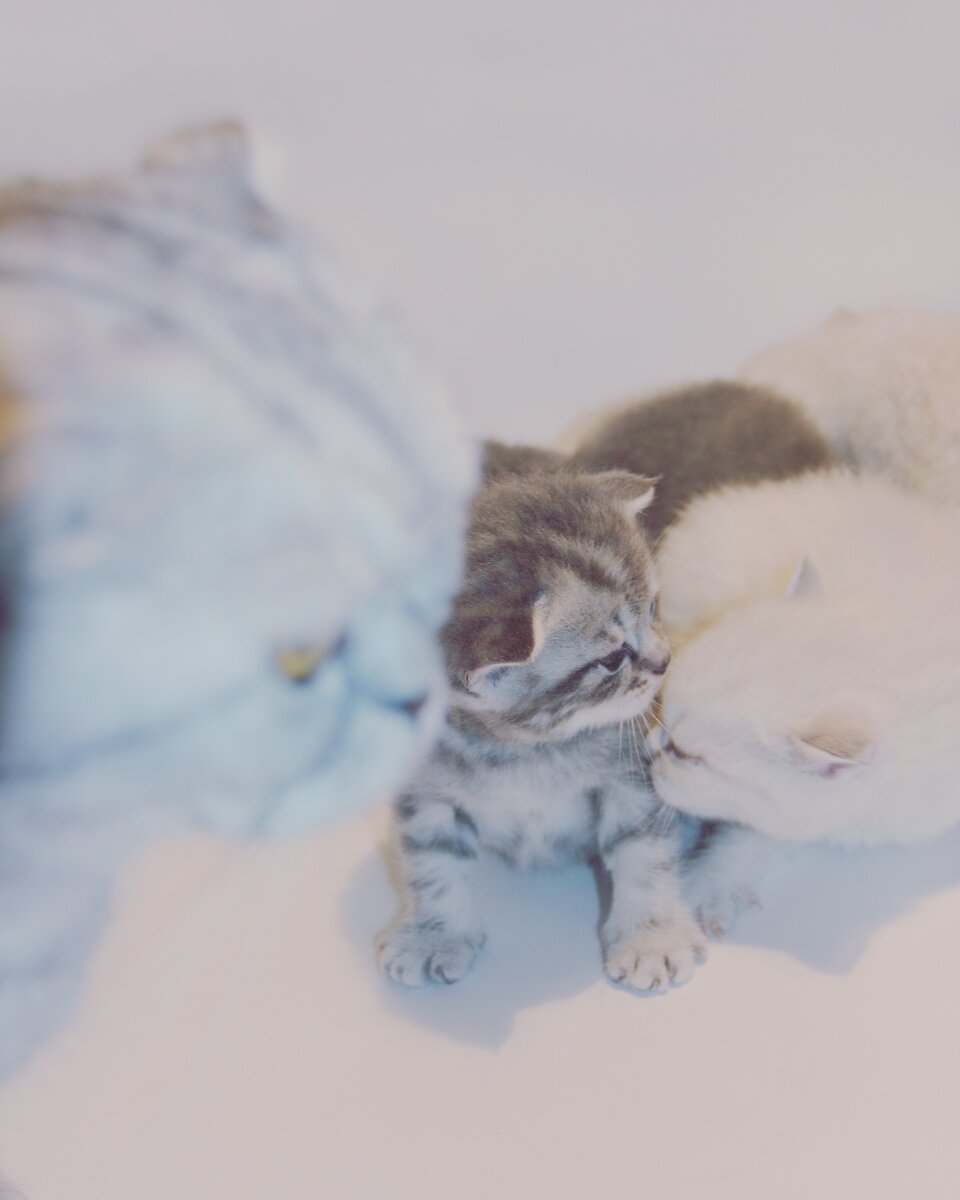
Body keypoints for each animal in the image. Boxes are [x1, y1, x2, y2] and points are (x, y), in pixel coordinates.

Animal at [376, 444, 708, 993]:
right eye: (612, 659)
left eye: (655, 607)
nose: (665, 663)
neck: (526, 747)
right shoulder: (421, 787)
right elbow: (430, 860)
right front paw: (434, 934)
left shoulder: (632, 772)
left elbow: (644, 852)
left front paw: (651, 938)